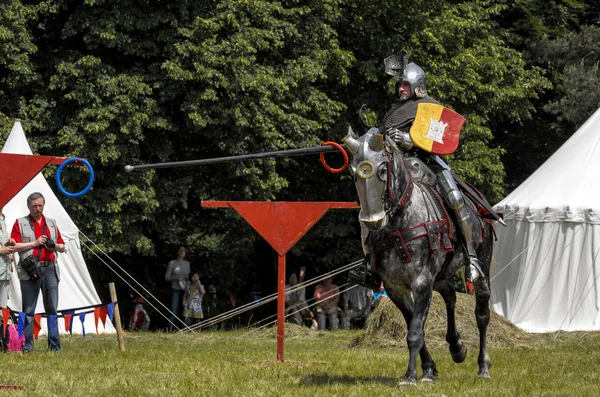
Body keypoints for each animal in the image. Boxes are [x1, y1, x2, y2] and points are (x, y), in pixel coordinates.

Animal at [344, 126, 494, 384]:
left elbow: (415, 332)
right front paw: (428, 369)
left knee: (482, 313)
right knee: (450, 295)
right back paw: (456, 347)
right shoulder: (395, 288)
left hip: (482, 267)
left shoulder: (422, 282)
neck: (399, 222)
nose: (371, 221)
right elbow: (415, 325)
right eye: (353, 172)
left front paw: (412, 377)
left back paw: (483, 367)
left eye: (382, 170)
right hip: (441, 275)